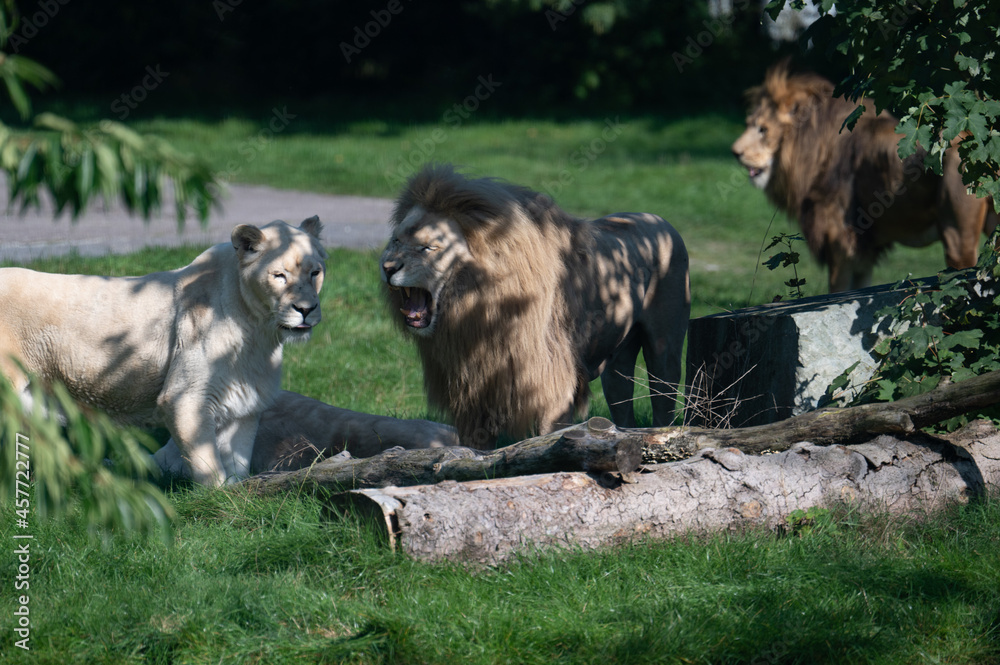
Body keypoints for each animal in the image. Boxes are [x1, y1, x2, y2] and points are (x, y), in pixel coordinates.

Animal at [0, 220, 326, 486]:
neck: (260, 332)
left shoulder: (245, 402)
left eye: (315, 273)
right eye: (279, 275)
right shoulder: (185, 397)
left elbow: (238, 461)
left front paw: (240, 498)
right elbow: (208, 466)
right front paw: (220, 502)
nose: (306, 310)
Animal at [378, 163, 692, 448]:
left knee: (664, 398)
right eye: (396, 241)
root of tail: (658, 219)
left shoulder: (551, 387)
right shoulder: (474, 393)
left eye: (428, 248)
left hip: (664, 349)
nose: (387, 268)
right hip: (617, 363)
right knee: (622, 400)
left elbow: (548, 437)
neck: (475, 311)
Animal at [732, 60, 996, 290]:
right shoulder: (863, 251)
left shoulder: (839, 240)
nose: (735, 152)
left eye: (763, 129)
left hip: (958, 238)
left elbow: (837, 292)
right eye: (749, 124)